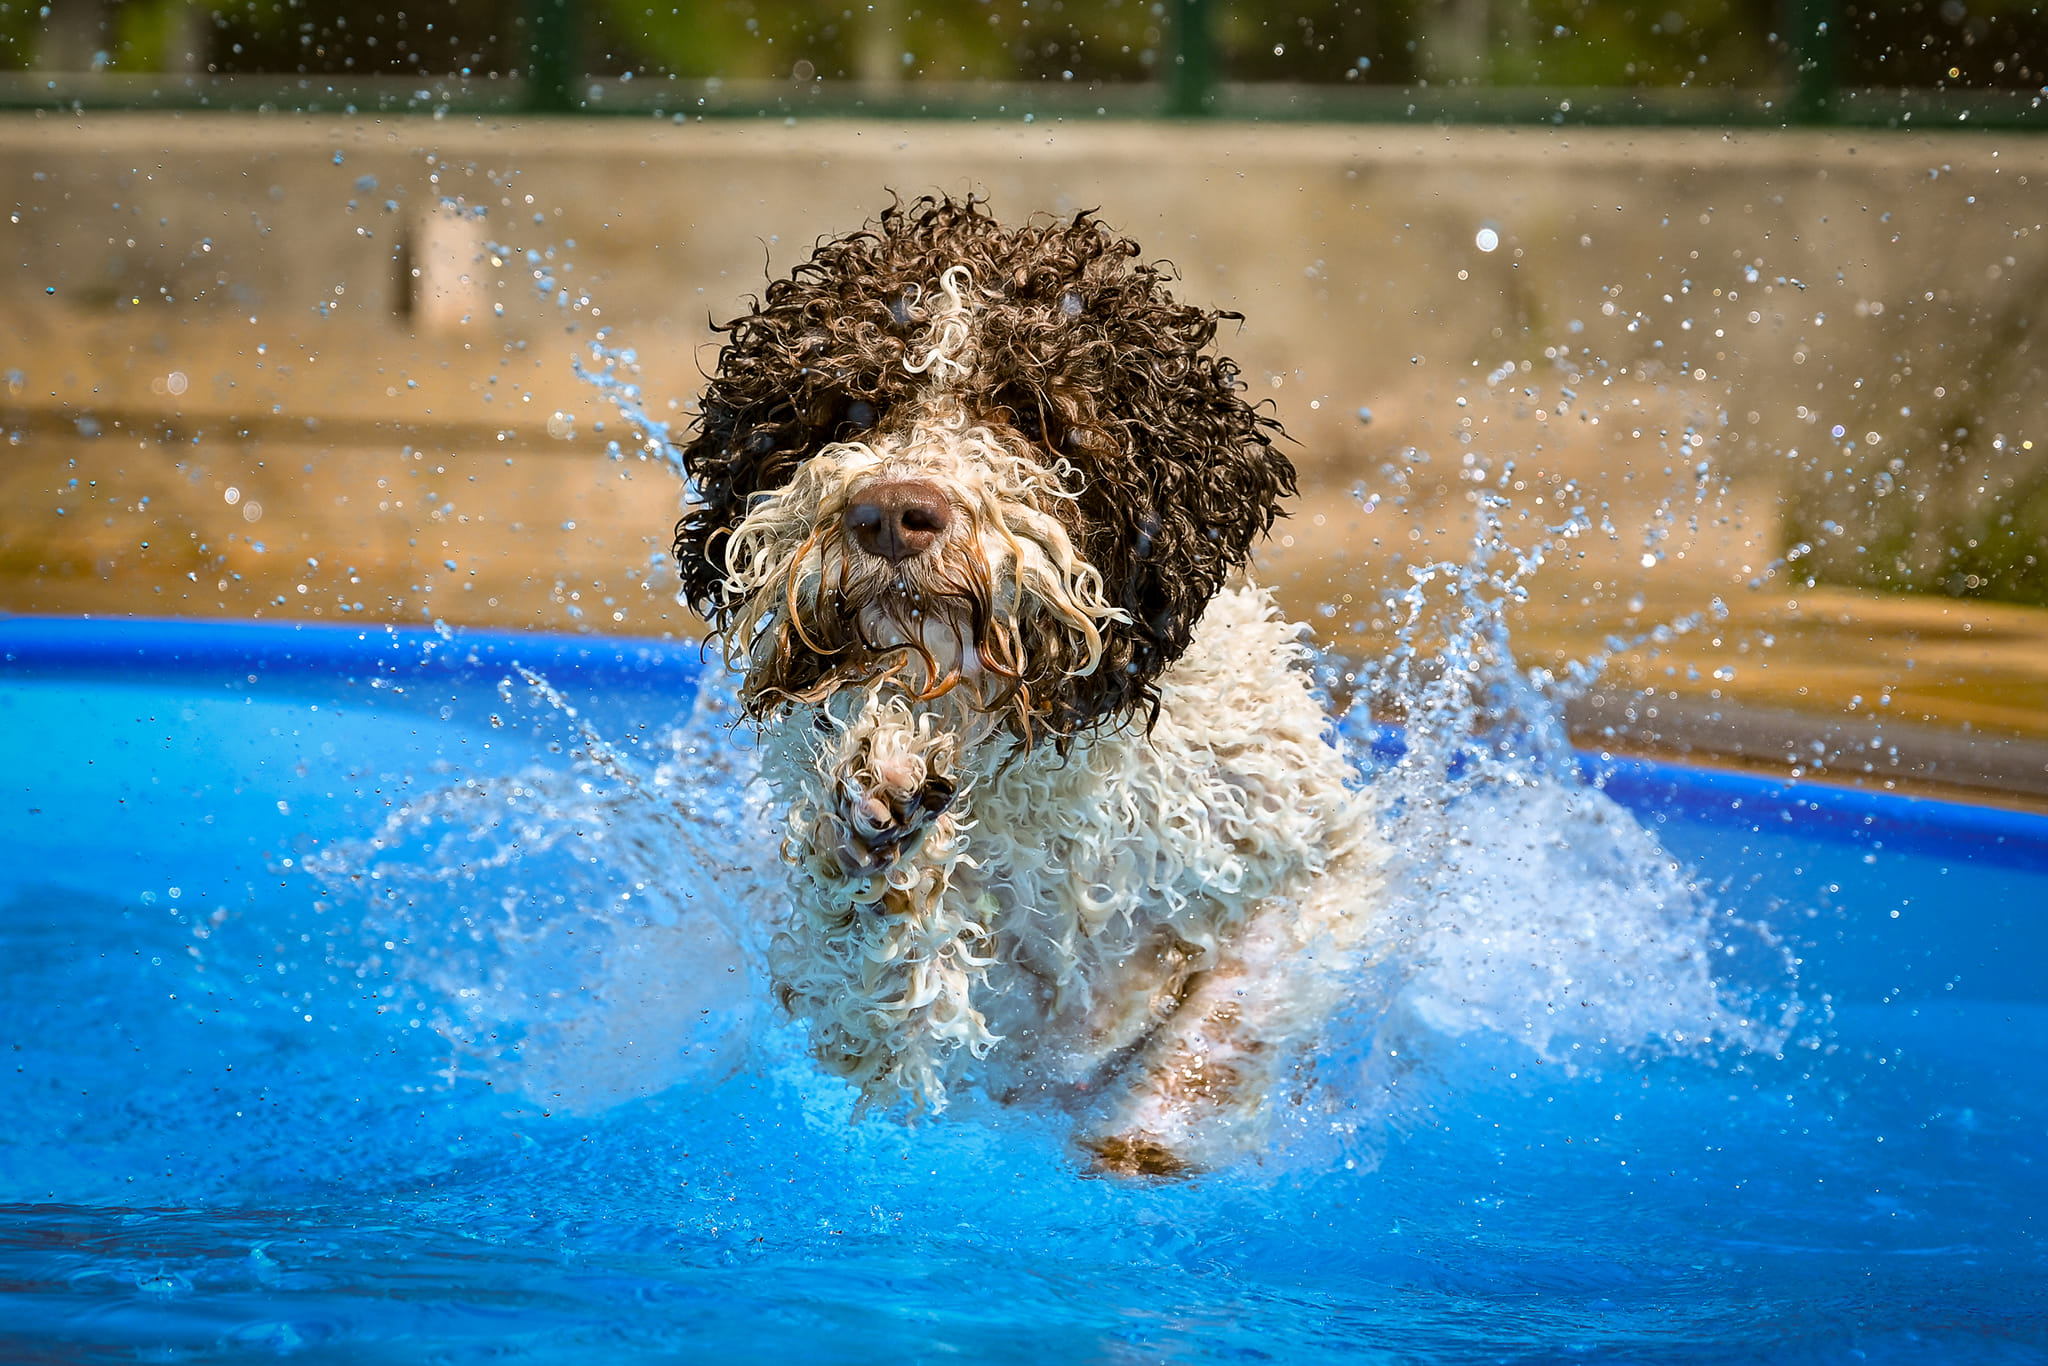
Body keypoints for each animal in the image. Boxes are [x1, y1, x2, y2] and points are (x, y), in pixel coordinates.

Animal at [671, 194, 1392, 1179]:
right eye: (851, 404)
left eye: (1028, 408)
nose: (888, 512)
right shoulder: (904, 1050)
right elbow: (879, 1003)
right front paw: (876, 813)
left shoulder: (1307, 864)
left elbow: (1212, 1045)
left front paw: (1133, 1154)